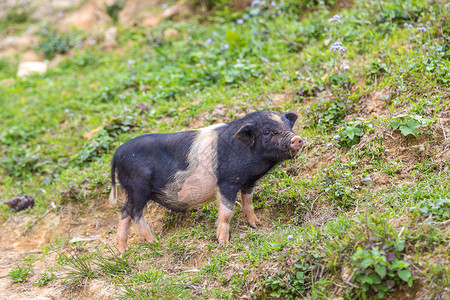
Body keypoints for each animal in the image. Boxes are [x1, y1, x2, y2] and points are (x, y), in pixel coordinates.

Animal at [110, 110, 304, 253]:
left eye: (288, 125)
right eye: (267, 132)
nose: (296, 138)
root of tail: (117, 154)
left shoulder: (248, 182)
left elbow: (248, 202)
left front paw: (257, 224)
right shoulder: (227, 182)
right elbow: (227, 211)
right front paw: (224, 243)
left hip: (132, 190)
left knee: (124, 211)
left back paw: (122, 251)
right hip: (138, 186)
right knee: (134, 212)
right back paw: (153, 242)